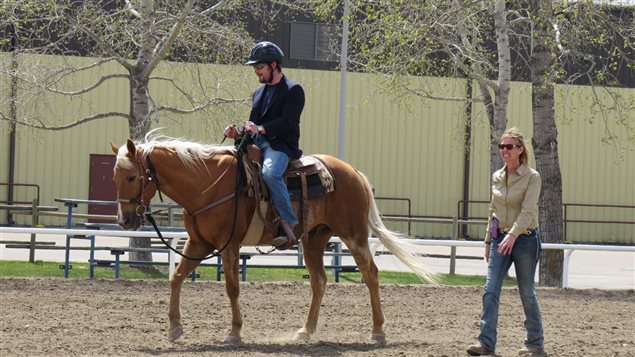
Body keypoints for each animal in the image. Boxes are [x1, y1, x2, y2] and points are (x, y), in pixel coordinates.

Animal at [110, 133, 438, 342]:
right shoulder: (199, 244)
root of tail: (354, 172)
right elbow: (176, 278)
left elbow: (231, 287)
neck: (207, 185)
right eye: (115, 178)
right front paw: (175, 328)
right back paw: (306, 331)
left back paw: (378, 331)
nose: (125, 220)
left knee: (370, 274)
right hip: (314, 239)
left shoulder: (228, 245)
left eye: (132, 177)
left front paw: (234, 332)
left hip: (353, 234)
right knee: (319, 281)